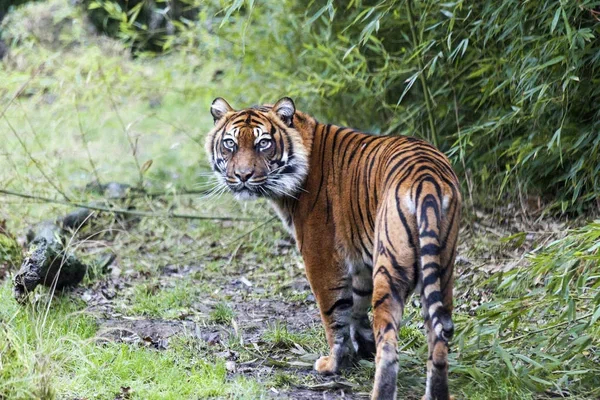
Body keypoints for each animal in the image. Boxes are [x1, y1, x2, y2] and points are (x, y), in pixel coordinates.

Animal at [204, 97, 462, 400]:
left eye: (263, 143)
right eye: (230, 144)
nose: (242, 176)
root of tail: (427, 181)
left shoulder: (321, 256)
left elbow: (335, 314)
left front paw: (335, 363)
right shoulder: (361, 261)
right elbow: (357, 306)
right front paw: (363, 349)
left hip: (390, 268)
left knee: (389, 344)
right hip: (442, 268)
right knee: (438, 337)